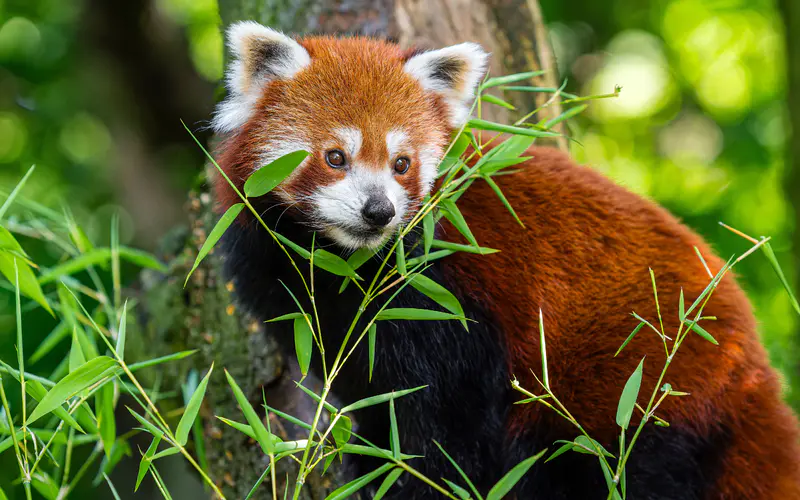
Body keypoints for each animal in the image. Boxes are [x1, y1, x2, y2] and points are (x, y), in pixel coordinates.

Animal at [208, 21, 800, 498]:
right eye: (335, 157)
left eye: (402, 164)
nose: (379, 211)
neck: (344, 264)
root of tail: (751, 367)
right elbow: (374, 398)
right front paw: (368, 464)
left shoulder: (451, 300)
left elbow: (448, 422)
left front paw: (415, 480)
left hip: (642, 386)